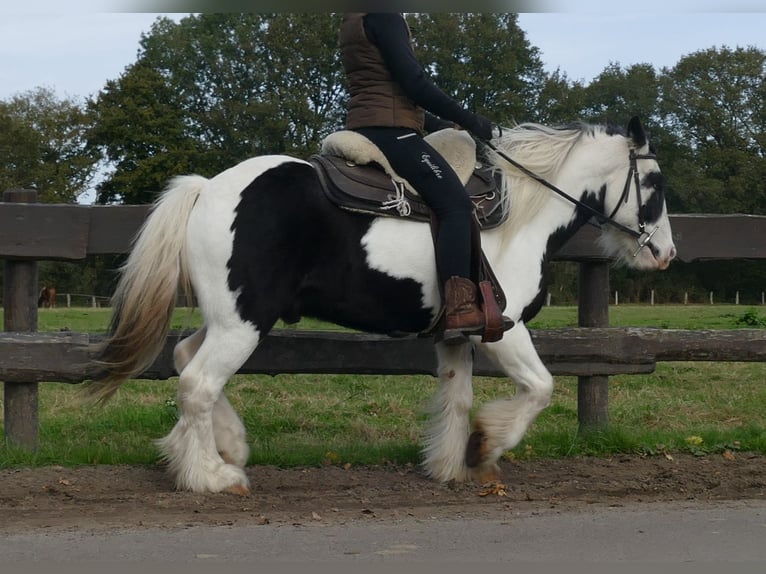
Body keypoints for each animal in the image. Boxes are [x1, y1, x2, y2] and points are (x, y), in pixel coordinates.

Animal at [88, 116, 680, 496]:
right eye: (653, 182)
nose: (666, 253)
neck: (519, 219)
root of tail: (208, 188)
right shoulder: (506, 331)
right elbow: (540, 388)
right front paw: (485, 447)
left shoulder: (455, 337)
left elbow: (458, 399)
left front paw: (451, 466)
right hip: (243, 324)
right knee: (197, 384)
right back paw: (211, 476)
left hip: (229, 319)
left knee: (185, 359)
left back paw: (223, 447)